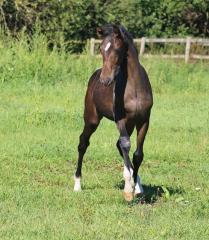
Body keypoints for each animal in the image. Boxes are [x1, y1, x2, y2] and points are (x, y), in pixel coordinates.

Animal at [74, 24, 153, 201]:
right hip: (92, 119)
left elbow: (138, 154)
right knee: (83, 143)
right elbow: (126, 144)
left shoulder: (144, 120)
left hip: (131, 124)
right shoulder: (120, 119)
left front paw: (136, 187)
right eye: (101, 49)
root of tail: (94, 76)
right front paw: (128, 190)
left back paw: (137, 183)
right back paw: (77, 184)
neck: (134, 89)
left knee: (119, 145)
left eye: (117, 49)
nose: (105, 80)